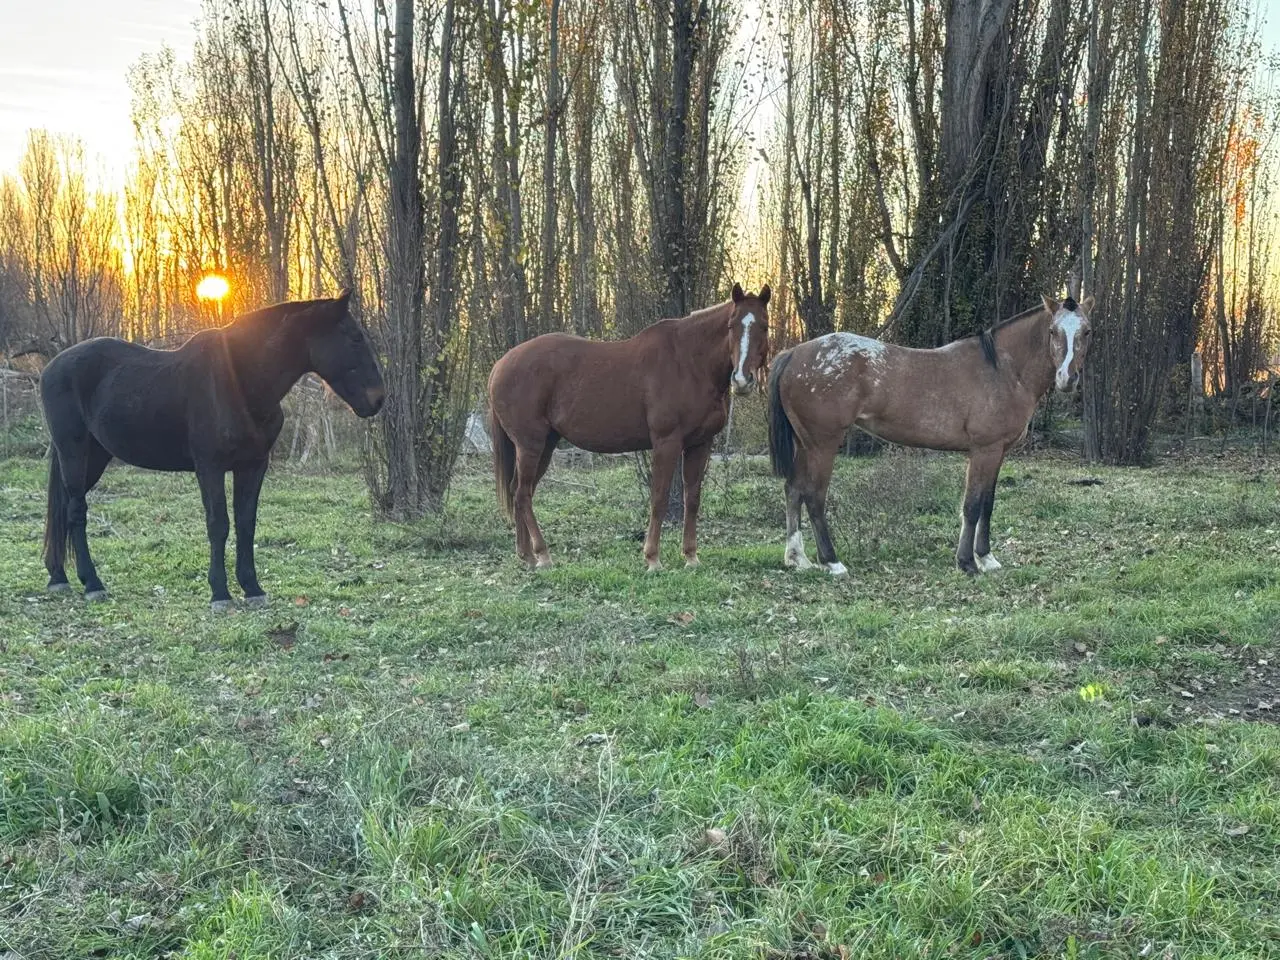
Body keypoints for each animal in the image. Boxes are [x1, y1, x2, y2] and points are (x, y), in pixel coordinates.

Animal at [39, 291, 385, 611]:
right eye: (355, 337)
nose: (378, 398)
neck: (240, 381)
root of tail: (52, 367)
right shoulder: (210, 467)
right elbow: (218, 524)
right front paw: (220, 593)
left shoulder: (253, 466)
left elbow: (246, 523)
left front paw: (252, 588)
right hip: (73, 452)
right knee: (76, 511)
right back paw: (92, 583)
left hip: (95, 457)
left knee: (63, 509)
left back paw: (59, 576)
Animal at [488, 283, 771, 571]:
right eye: (732, 325)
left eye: (764, 326)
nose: (742, 380)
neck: (689, 364)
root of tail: (500, 365)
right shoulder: (666, 442)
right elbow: (659, 497)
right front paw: (652, 558)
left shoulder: (700, 444)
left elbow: (692, 498)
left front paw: (691, 557)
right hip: (530, 445)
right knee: (523, 494)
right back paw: (543, 554)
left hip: (546, 444)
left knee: (520, 490)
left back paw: (527, 555)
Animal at [768, 294, 1093, 576]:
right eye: (1052, 331)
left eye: (1087, 331)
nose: (1067, 378)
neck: (1003, 369)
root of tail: (794, 354)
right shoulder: (984, 450)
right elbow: (972, 506)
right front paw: (967, 562)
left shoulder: (998, 452)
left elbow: (987, 504)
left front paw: (986, 558)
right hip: (822, 444)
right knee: (814, 496)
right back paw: (832, 562)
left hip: (804, 444)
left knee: (793, 490)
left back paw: (798, 559)